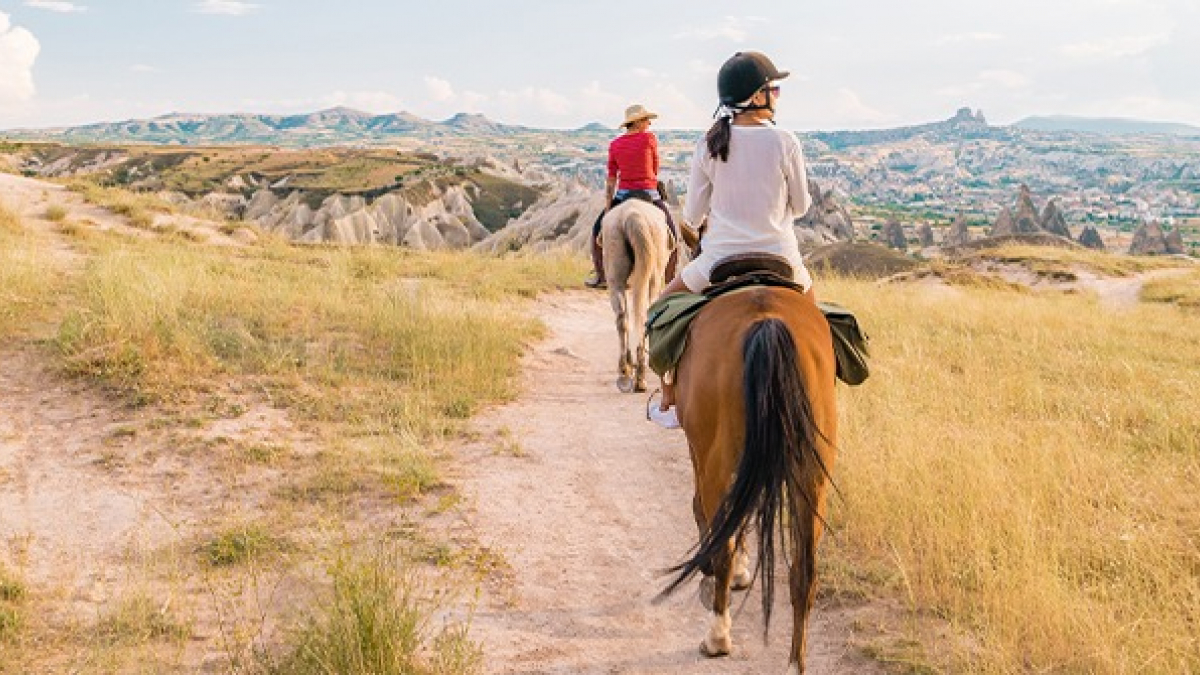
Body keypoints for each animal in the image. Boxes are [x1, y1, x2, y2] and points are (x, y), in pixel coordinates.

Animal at [600, 196, 676, 391]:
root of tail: (632, 215)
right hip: (649, 279)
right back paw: (637, 374)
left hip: (616, 279)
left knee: (623, 319)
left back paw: (628, 370)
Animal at [662, 284, 840, 672]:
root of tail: (766, 322)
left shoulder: (701, 454)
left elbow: (705, 512)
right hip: (812, 477)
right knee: (805, 571)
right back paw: (794, 663)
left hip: (716, 461)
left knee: (723, 544)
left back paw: (717, 637)